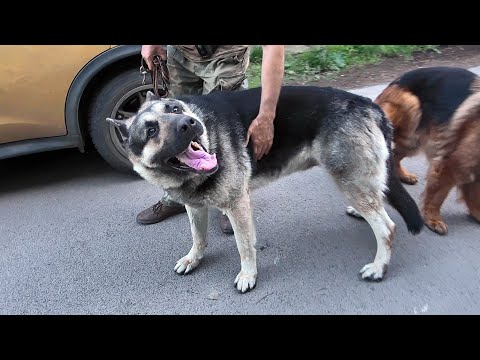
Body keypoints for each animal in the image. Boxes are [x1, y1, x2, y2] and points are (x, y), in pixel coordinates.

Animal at [107, 86, 422, 292]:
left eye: (174, 109)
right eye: (150, 131)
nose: (189, 123)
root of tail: (370, 105)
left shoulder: (238, 206)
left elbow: (244, 245)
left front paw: (248, 275)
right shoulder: (194, 206)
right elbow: (198, 237)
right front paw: (194, 259)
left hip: (348, 180)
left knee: (387, 227)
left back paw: (378, 267)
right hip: (355, 181)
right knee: (376, 202)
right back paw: (360, 214)